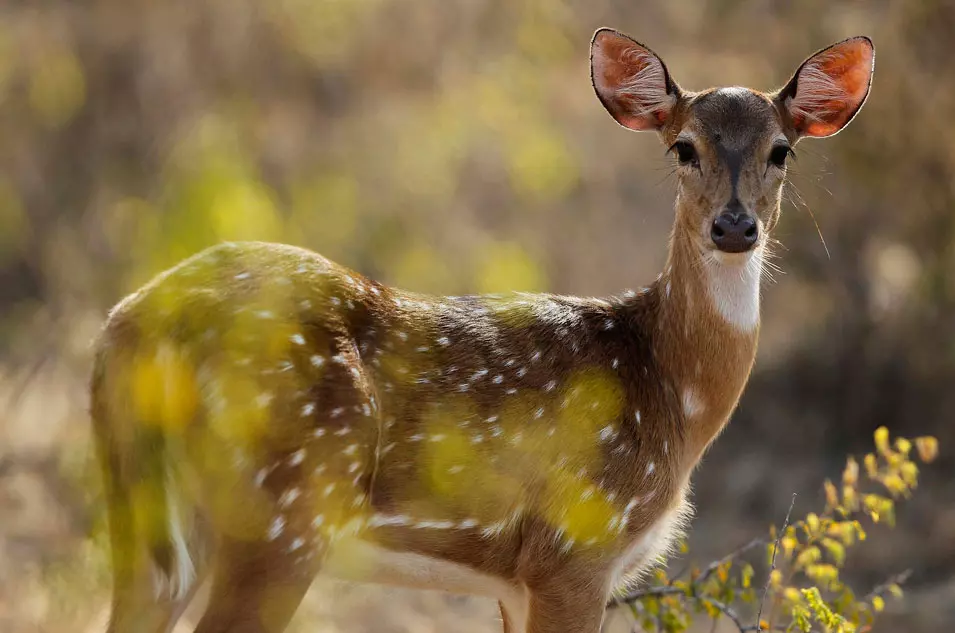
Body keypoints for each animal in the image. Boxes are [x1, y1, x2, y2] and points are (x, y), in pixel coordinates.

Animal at [89, 27, 872, 632]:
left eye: (781, 151)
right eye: (682, 147)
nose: (734, 227)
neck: (668, 393)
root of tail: (133, 326)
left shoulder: (516, 576)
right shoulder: (572, 549)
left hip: (152, 521)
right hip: (284, 510)